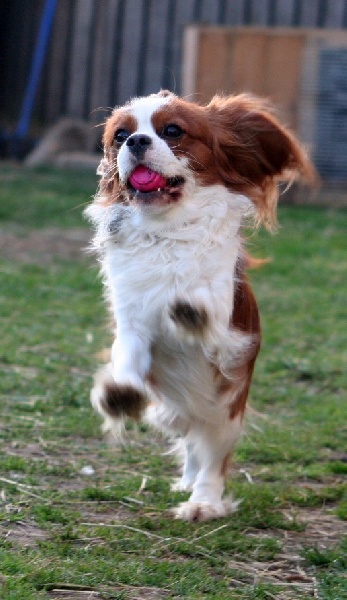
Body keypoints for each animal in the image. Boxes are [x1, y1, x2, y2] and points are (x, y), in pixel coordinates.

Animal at [85, 90, 316, 520]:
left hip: (224, 411)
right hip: (179, 409)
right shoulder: (132, 321)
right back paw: (189, 481)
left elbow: (207, 311)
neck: (167, 230)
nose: (136, 141)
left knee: (212, 457)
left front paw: (191, 308)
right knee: (193, 444)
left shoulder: (230, 330)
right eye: (119, 135)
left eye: (173, 131)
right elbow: (127, 358)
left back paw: (203, 501)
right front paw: (120, 392)